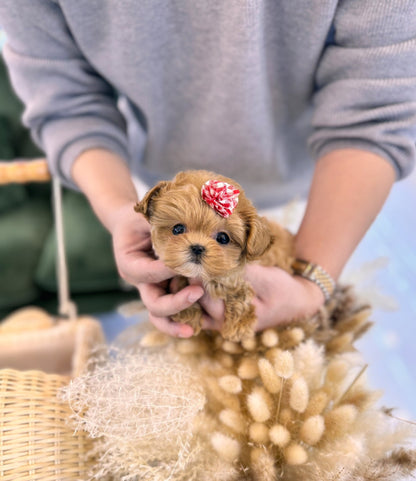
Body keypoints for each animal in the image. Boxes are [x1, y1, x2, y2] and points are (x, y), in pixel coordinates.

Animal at [135, 170, 294, 342]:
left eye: (223, 238)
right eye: (177, 229)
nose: (197, 248)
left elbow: (239, 293)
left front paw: (239, 326)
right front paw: (188, 315)